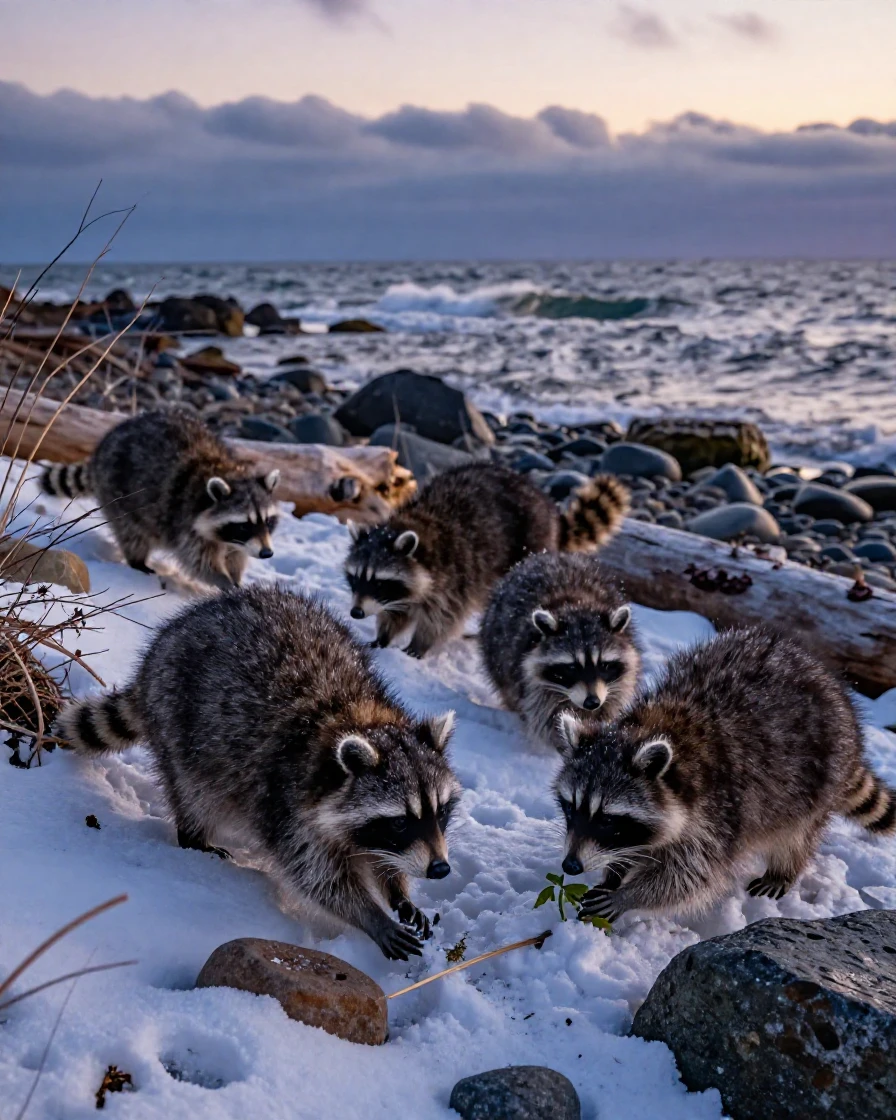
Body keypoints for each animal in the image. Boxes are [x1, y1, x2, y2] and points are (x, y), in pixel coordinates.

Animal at [40, 408, 279, 590]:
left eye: (268, 521)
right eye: (244, 525)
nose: (267, 553)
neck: (226, 472)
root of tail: (103, 447)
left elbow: (236, 554)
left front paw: (236, 576)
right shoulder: (186, 520)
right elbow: (198, 562)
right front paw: (223, 581)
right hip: (118, 493)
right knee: (132, 533)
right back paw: (138, 561)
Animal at [57, 586, 461, 960]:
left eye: (441, 812)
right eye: (400, 821)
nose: (440, 870)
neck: (355, 716)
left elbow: (381, 859)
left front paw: (397, 890)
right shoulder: (287, 799)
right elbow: (316, 878)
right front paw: (370, 915)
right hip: (178, 722)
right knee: (196, 793)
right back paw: (194, 836)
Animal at [345, 463, 629, 659]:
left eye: (379, 582)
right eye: (355, 577)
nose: (356, 613)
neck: (415, 524)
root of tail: (549, 508)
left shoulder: (453, 577)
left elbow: (443, 619)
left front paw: (418, 646)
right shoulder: (403, 593)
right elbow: (396, 613)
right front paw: (382, 638)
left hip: (529, 544)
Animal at [481, 552, 641, 751]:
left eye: (604, 665)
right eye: (571, 667)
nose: (592, 702)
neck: (577, 606)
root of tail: (545, 556)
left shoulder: (616, 685)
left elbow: (609, 706)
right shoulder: (530, 679)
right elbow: (546, 715)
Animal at [552, 627, 895, 923]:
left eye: (608, 820)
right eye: (571, 808)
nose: (570, 865)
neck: (648, 727)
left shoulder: (716, 813)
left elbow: (690, 877)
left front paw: (629, 896)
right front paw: (615, 873)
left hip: (819, 778)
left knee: (797, 835)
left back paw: (783, 870)